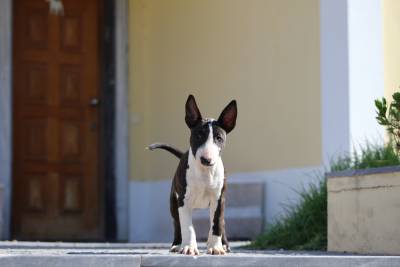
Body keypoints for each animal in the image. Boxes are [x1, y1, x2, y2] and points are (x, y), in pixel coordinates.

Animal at [149, 95, 238, 256]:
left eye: (219, 138)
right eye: (199, 136)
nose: (206, 159)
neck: (204, 172)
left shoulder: (218, 199)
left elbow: (217, 223)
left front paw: (215, 247)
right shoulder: (183, 201)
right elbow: (187, 226)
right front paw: (189, 247)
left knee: (221, 223)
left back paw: (224, 244)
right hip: (173, 202)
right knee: (177, 223)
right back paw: (177, 245)